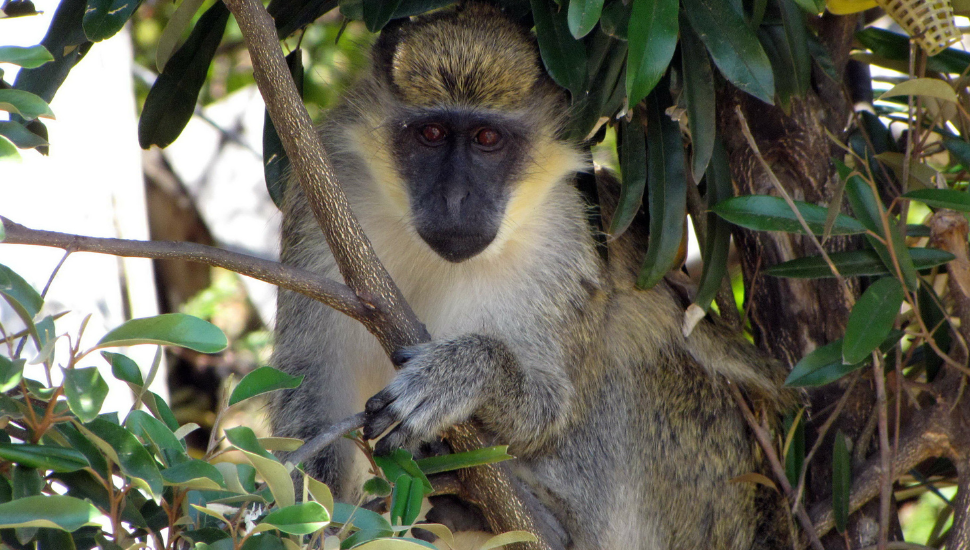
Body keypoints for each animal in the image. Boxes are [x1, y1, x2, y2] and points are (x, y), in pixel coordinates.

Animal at [266, 5, 796, 550]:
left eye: (487, 139)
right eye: (431, 134)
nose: (455, 199)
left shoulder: (564, 234)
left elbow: (550, 408)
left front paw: (462, 374)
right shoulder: (322, 199)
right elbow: (314, 386)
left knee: (639, 349)